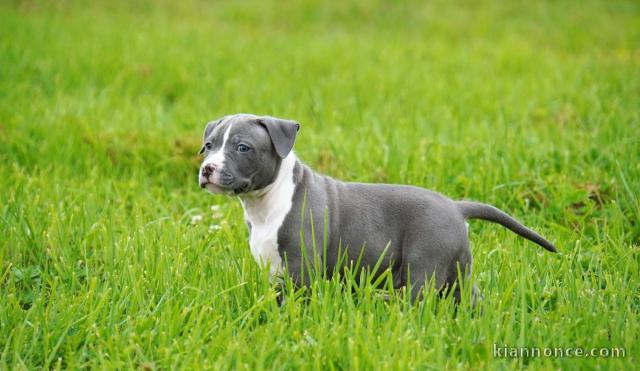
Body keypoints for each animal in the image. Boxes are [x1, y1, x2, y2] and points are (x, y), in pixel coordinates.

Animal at [198, 113, 556, 302]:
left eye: (243, 148)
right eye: (208, 146)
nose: (207, 169)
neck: (266, 202)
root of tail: (456, 206)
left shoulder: (302, 268)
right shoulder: (272, 267)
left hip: (425, 265)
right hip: (458, 270)